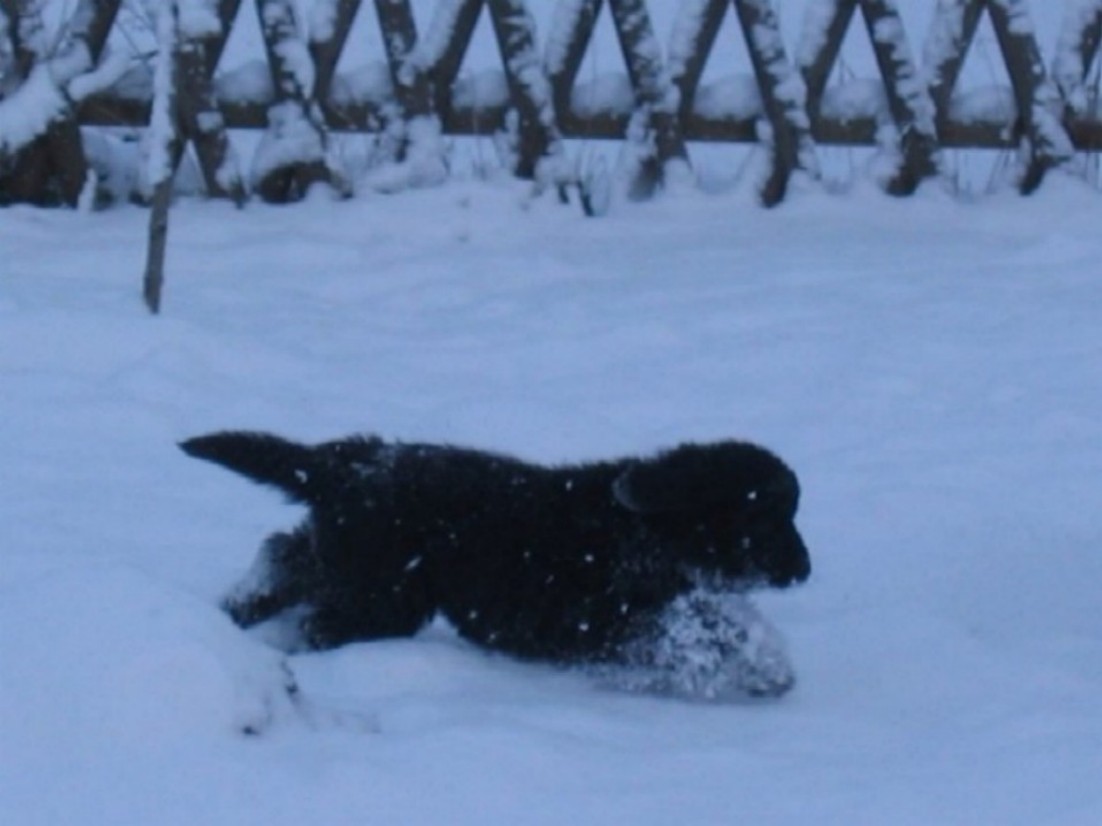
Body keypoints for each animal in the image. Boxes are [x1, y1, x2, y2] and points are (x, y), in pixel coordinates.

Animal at [182, 432, 810, 697]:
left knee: (282, 556)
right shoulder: (607, 616)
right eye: (769, 519)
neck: (650, 528)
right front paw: (763, 667)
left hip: (349, 561)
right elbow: (702, 631)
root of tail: (356, 461)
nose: (804, 570)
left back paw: (234, 612)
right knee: (316, 613)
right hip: (381, 588)